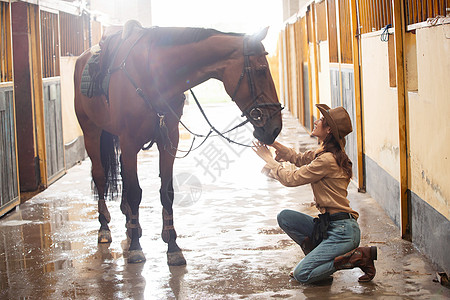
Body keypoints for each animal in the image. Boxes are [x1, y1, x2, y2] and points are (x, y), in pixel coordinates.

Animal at [75, 21, 284, 264]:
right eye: (261, 70)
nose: (275, 127)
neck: (153, 74)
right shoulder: (129, 141)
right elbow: (136, 192)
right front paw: (136, 247)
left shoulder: (169, 140)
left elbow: (166, 192)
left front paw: (172, 246)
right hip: (92, 132)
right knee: (100, 177)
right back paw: (104, 228)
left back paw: (130, 227)